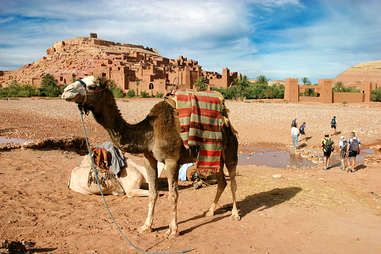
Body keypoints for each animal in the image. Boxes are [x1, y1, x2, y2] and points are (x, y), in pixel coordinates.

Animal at [61, 76, 238, 238]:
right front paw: (146, 226)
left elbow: (173, 195)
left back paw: (235, 214)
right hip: (214, 156)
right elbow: (153, 193)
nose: (66, 91)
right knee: (222, 182)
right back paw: (210, 211)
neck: (149, 134)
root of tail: (226, 117)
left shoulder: (172, 160)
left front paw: (173, 230)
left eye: (92, 86)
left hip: (230, 149)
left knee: (232, 180)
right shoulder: (149, 159)